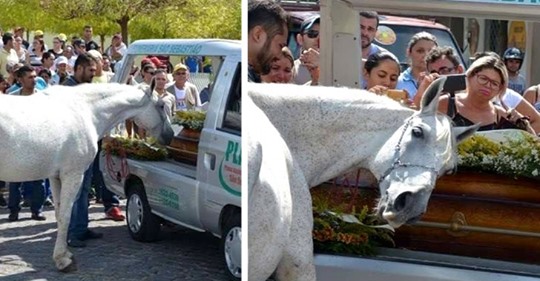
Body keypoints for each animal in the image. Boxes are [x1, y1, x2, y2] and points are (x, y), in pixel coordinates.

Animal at [0, 83, 173, 272]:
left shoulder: (55, 177)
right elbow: (66, 216)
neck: (86, 111)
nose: (170, 135)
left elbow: (59, 214)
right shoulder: (73, 175)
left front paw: (64, 254)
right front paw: (63, 260)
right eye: (161, 105)